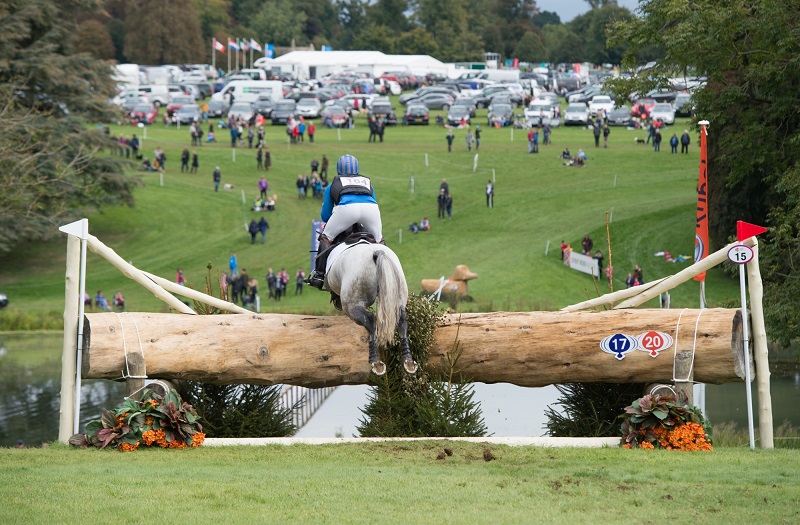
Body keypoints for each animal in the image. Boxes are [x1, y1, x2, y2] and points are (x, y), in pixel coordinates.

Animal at [324, 239, 418, 374]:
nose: (337, 303)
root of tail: (377, 252)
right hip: (398, 291)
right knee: (401, 319)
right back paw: (407, 359)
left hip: (352, 304)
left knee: (370, 320)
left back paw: (375, 360)